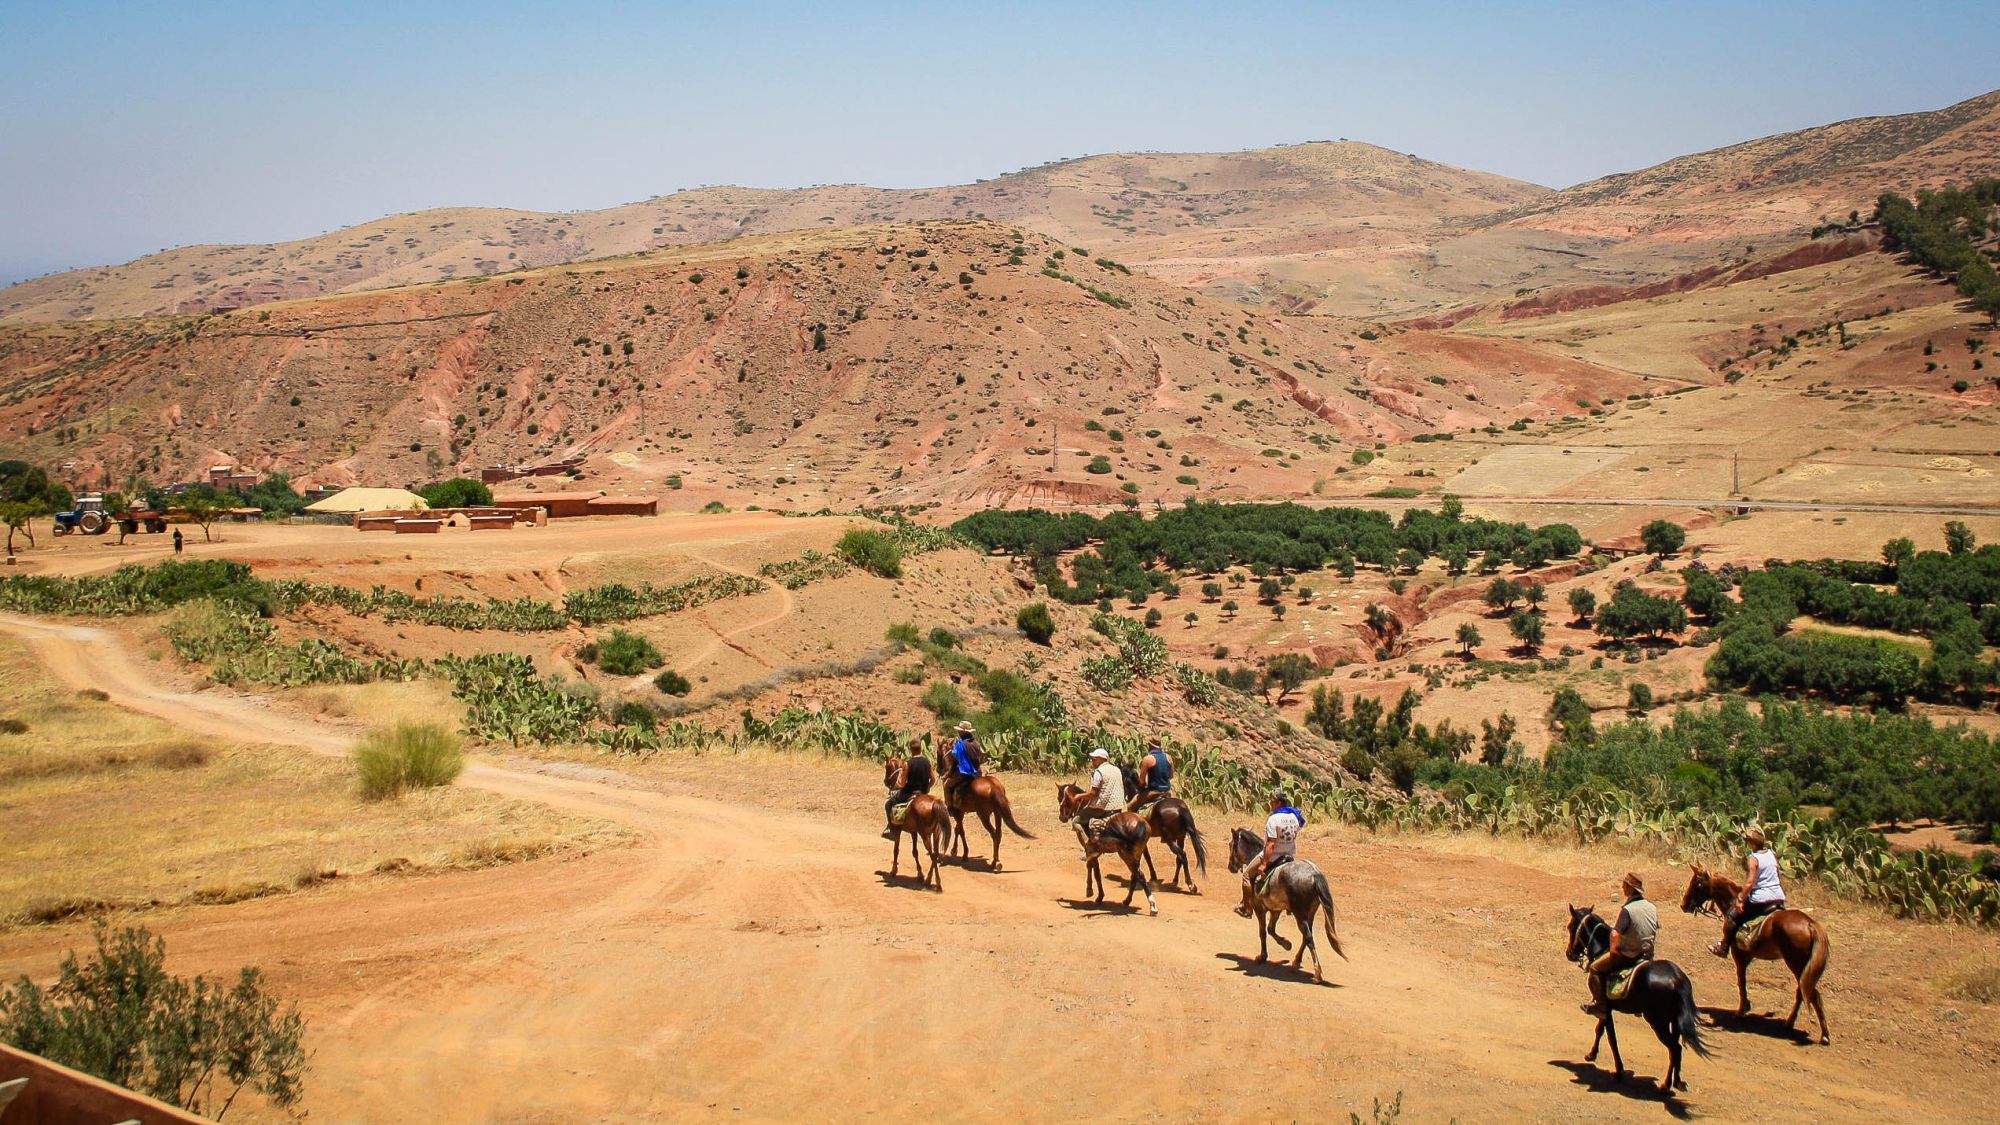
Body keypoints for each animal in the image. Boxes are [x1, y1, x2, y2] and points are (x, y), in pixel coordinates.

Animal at [884, 756, 944, 888]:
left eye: (886, 767)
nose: (885, 781)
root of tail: (935, 803)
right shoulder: (913, 832)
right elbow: (915, 852)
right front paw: (920, 874)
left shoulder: (898, 830)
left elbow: (896, 850)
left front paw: (893, 871)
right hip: (936, 833)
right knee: (935, 854)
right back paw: (929, 879)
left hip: (925, 834)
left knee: (932, 854)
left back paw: (936, 882)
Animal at [1056, 780, 1168, 912]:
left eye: (1060, 798)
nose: (1061, 817)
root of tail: (1142, 824)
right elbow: (1094, 870)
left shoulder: (1091, 851)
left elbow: (1094, 871)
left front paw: (1094, 893)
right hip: (1136, 854)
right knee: (1134, 875)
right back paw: (1127, 900)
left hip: (1126, 855)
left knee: (1139, 875)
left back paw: (1152, 905)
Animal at [1560, 900, 1704, 1088]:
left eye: (1570, 927)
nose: (1569, 954)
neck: (1603, 949)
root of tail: (1677, 979)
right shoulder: (1606, 1007)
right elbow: (1600, 1030)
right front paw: (1592, 1054)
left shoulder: (1604, 1007)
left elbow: (1611, 1037)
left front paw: (1619, 1071)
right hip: (1674, 1020)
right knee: (1677, 1047)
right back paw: (1677, 1081)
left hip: (1658, 1021)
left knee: (1675, 1048)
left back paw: (1666, 1085)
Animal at [1680, 860, 1832, 1040]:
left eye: (1697, 884)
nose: (1684, 905)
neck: (1732, 901)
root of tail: (1810, 924)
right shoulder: (1747, 956)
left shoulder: (1738, 955)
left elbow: (1741, 981)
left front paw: (1741, 1010)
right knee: (1804, 992)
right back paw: (1794, 1024)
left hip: (1796, 964)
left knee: (1810, 994)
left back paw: (1821, 1034)